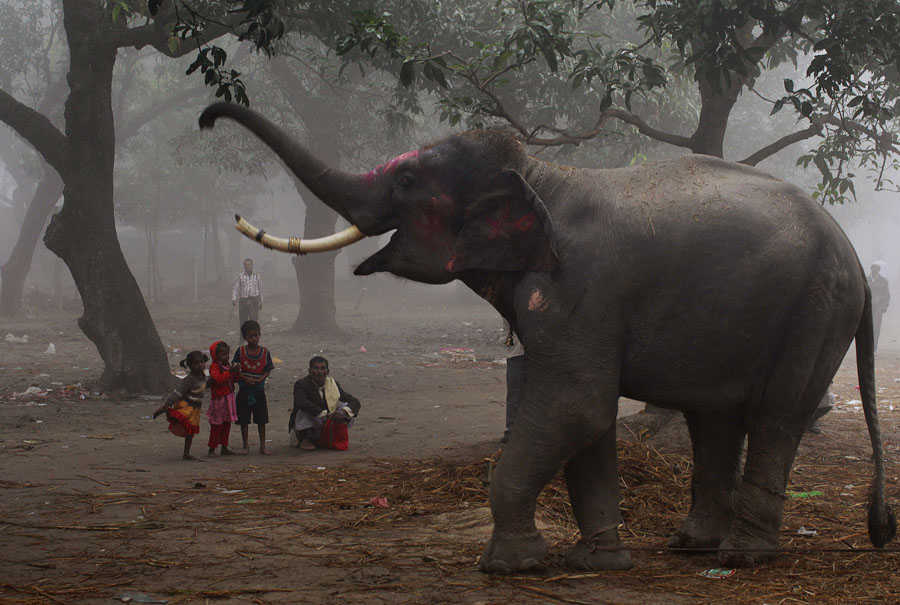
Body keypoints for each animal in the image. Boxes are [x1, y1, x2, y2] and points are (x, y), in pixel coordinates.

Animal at [198, 102, 895, 573]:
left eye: (407, 182)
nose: (208, 117)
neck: (541, 171)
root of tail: (856, 262)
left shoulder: (578, 291)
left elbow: (576, 405)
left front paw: (511, 564)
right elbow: (590, 417)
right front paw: (600, 562)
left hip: (816, 310)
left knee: (776, 415)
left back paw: (744, 557)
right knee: (715, 418)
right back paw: (691, 547)